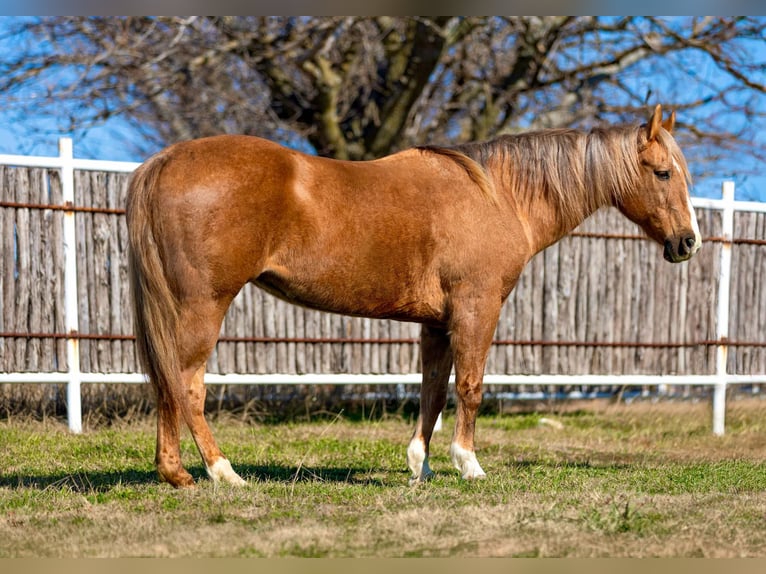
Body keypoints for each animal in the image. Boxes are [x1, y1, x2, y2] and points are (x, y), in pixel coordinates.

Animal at [126, 104, 701, 488]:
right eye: (663, 173)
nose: (688, 243)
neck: (499, 195)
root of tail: (166, 161)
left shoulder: (436, 323)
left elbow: (433, 392)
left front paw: (418, 466)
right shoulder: (476, 309)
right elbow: (470, 387)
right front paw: (469, 464)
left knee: (166, 385)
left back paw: (175, 475)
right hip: (204, 305)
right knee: (186, 385)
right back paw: (222, 473)